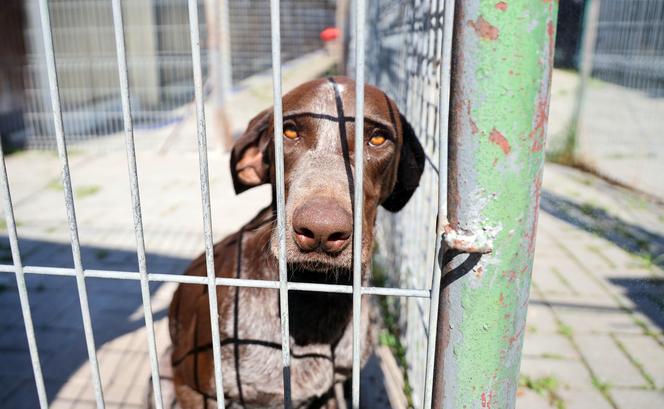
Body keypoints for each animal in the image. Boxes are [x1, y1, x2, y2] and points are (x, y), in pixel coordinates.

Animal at [169, 77, 422, 408]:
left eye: (378, 138)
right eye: (289, 132)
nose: (321, 231)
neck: (313, 297)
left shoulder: (329, 391)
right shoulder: (192, 387)